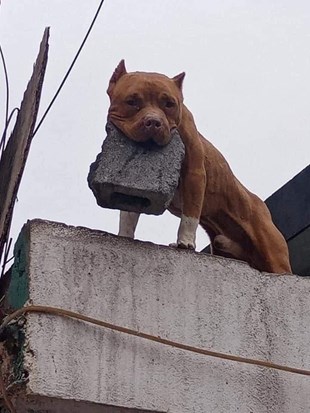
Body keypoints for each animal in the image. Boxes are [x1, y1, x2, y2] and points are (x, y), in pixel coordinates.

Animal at [108, 60, 292, 274]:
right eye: (132, 102)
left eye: (169, 104)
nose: (154, 122)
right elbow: (128, 214)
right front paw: (124, 236)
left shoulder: (194, 174)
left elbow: (190, 214)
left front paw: (185, 243)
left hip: (274, 254)